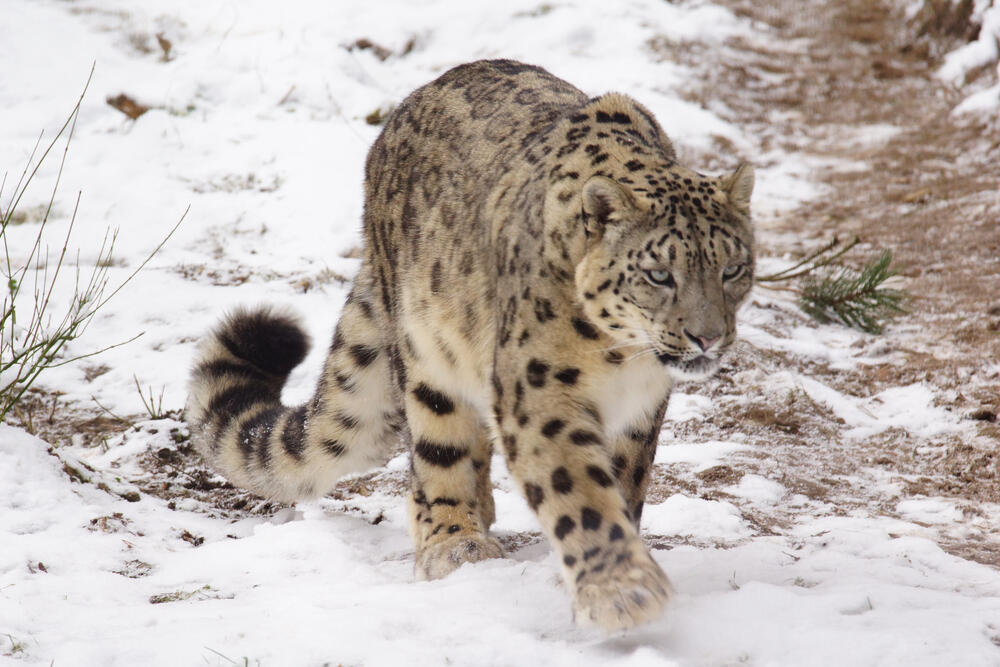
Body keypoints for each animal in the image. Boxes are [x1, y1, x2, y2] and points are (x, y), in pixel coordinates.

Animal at [187, 59, 755, 631]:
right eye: (659, 274)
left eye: (732, 268)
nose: (707, 335)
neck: (620, 359)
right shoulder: (540, 393)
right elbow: (578, 489)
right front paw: (621, 591)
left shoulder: (642, 411)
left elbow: (624, 485)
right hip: (426, 362)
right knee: (438, 455)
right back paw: (455, 543)